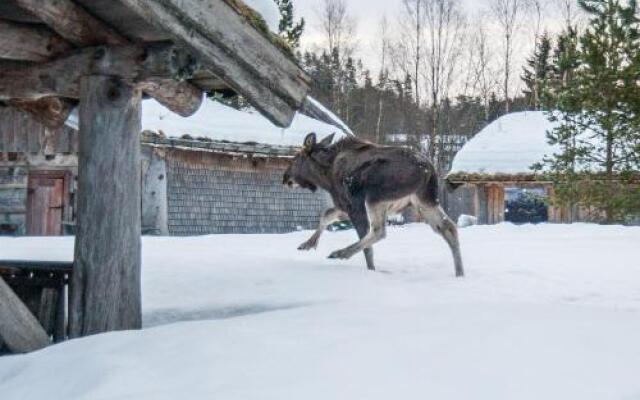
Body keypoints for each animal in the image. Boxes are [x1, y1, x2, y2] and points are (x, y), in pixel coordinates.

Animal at [282, 133, 462, 276]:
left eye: (296, 158)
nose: (285, 178)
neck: (325, 175)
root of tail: (428, 170)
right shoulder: (342, 206)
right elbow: (325, 216)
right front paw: (307, 244)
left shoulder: (352, 204)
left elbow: (364, 241)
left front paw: (371, 269)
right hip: (424, 201)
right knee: (449, 227)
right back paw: (459, 273)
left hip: (375, 197)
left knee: (378, 231)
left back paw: (340, 253)